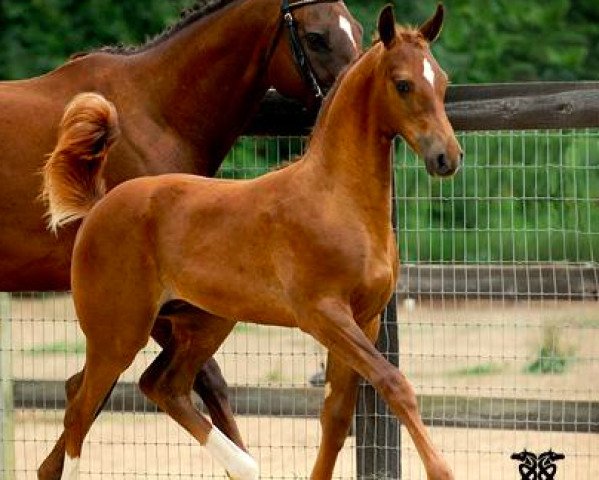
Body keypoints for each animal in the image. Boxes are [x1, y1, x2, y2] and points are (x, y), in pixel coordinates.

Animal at [43, 3, 464, 480]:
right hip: (116, 333)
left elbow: (336, 417)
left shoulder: (367, 318)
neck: (336, 196)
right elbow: (394, 383)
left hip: (205, 322)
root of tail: (99, 205)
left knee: (162, 386)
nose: (447, 157)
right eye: (403, 83)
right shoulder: (323, 314)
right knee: (80, 412)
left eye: (442, 81)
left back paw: (245, 464)